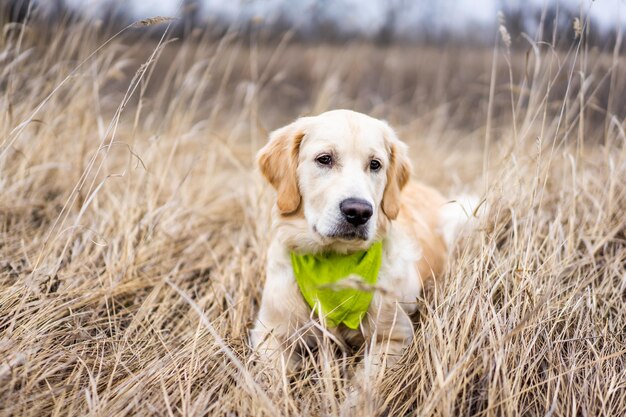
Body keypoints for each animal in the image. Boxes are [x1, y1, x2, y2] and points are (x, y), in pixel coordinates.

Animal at [251, 109, 476, 380]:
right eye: (324, 159)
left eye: (375, 164)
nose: (358, 212)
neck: (334, 264)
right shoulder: (269, 331)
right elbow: (271, 376)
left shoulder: (393, 337)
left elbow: (364, 381)